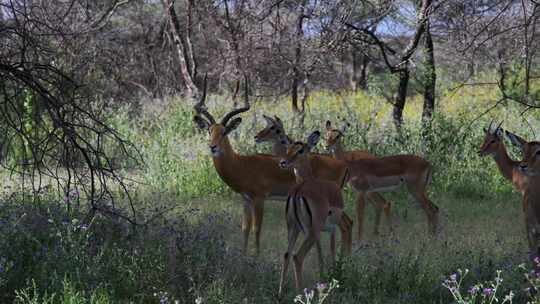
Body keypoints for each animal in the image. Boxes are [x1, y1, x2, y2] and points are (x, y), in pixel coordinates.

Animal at [278, 131, 354, 296]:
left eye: (299, 150)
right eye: (288, 149)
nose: (283, 162)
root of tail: (298, 191)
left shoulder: (321, 231)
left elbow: (320, 254)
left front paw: (324, 277)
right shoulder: (329, 228)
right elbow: (331, 249)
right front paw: (332, 275)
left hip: (294, 228)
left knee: (287, 254)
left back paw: (280, 294)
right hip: (311, 232)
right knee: (297, 256)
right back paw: (300, 293)